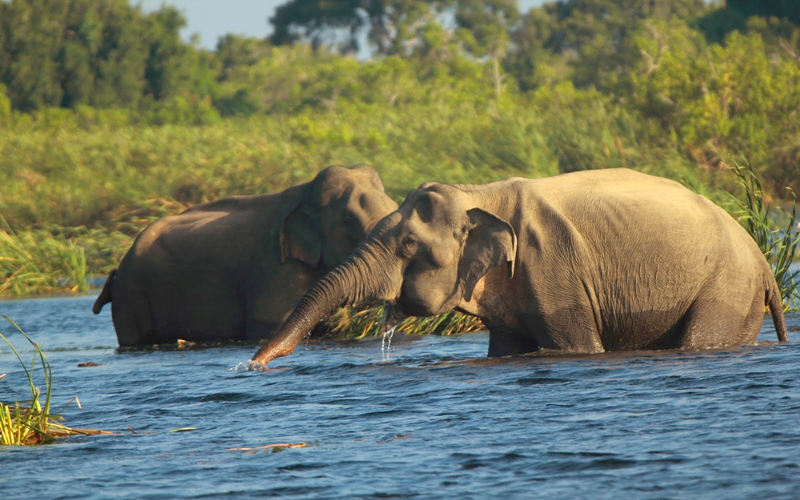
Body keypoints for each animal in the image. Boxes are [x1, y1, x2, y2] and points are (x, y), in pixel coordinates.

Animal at [255, 166, 788, 366]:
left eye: (407, 244)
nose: (255, 364)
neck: (479, 194)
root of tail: (765, 265)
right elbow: (507, 347)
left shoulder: (554, 267)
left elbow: (577, 346)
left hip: (726, 288)